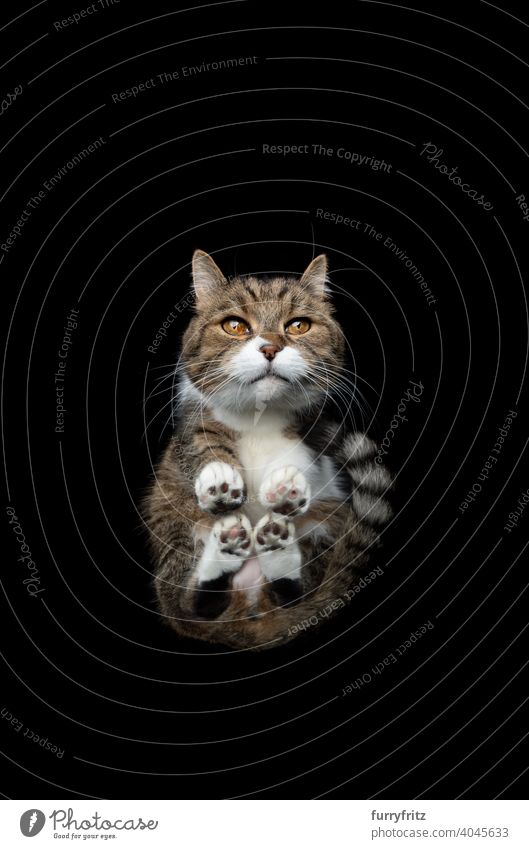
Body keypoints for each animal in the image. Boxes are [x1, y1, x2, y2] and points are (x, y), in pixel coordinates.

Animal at [142, 247, 390, 648]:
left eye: (298, 325)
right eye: (235, 326)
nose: (271, 347)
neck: (260, 417)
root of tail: (248, 618)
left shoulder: (312, 434)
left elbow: (303, 459)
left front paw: (286, 484)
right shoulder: (193, 418)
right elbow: (202, 441)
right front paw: (220, 476)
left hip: (326, 520)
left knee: (291, 592)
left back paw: (277, 548)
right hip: (172, 521)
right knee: (191, 602)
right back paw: (224, 552)